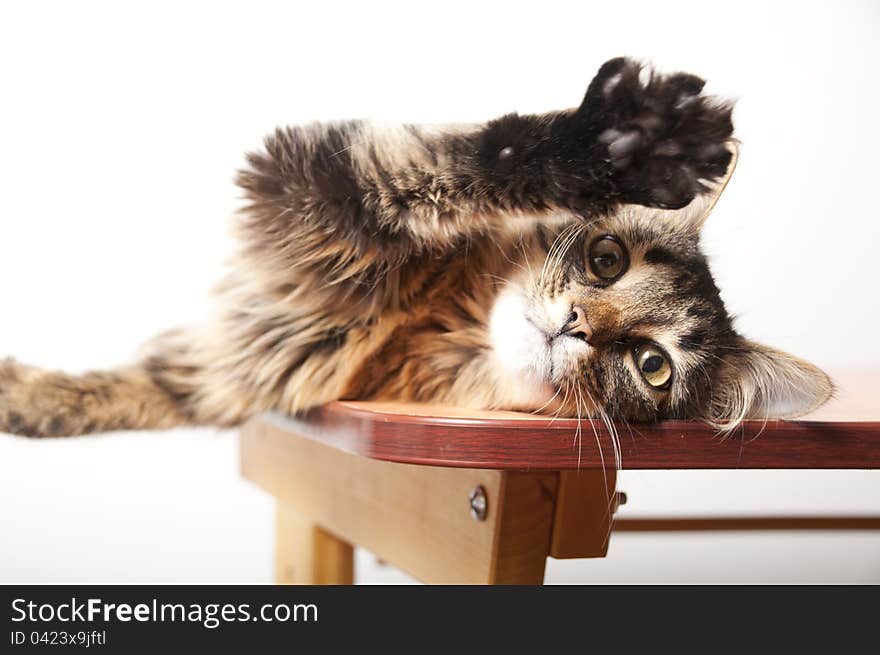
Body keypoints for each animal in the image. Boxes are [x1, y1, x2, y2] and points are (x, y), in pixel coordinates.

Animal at [0, 59, 828, 440]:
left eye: (652, 365)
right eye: (606, 259)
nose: (576, 323)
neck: (431, 324)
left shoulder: (224, 375)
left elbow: (108, 395)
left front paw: (26, 397)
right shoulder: (298, 174)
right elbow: (462, 163)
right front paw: (628, 140)